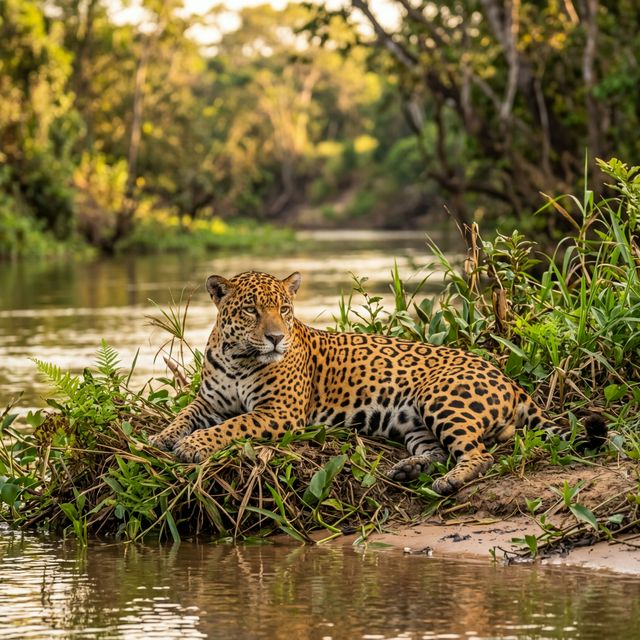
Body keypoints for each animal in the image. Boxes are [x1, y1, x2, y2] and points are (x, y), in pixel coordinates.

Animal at [149, 270, 606, 495]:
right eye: (250, 311)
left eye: (284, 309)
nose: (276, 337)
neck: (239, 357)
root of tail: (506, 378)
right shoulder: (210, 401)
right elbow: (183, 415)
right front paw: (162, 437)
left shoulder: (279, 412)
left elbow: (232, 426)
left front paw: (192, 446)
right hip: (414, 422)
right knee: (438, 450)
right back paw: (408, 469)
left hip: (442, 398)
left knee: (479, 455)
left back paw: (448, 482)